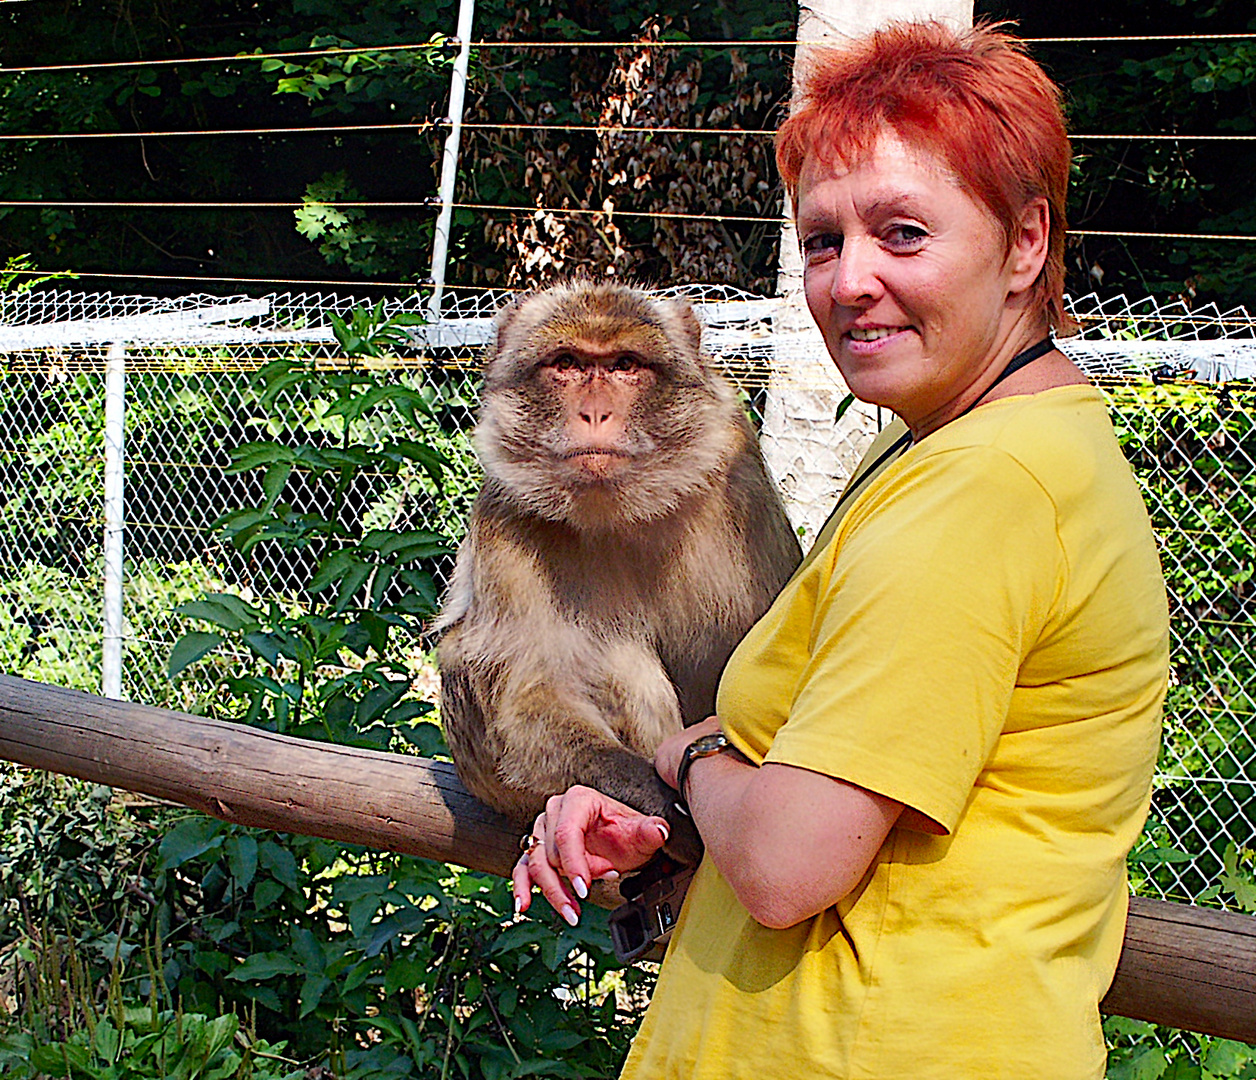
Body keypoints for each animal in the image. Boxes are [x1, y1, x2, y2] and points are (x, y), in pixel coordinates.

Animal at [437, 282, 798, 864]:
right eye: (566, 364)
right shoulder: (507, 514)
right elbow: (526, 700)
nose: (594, 412)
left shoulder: (738, 476)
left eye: (625, 365)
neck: (621, 513)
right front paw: (656, 795)